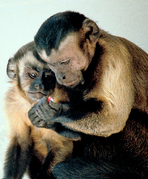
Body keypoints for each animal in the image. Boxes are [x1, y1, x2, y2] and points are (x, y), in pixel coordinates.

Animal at [3, 41, 73, 179]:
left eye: (48, 76)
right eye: (32, 75)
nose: (40, 85)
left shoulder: (60, 101)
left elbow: (61, 146)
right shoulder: (12, 102)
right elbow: (21, 142)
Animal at [28, 11, 148, 178]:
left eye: (64, 62)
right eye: (52, 65)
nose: (61, 76)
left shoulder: (112, 55)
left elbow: (113, 118)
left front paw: (55, 113)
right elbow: (77, 134)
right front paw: (45, 121)